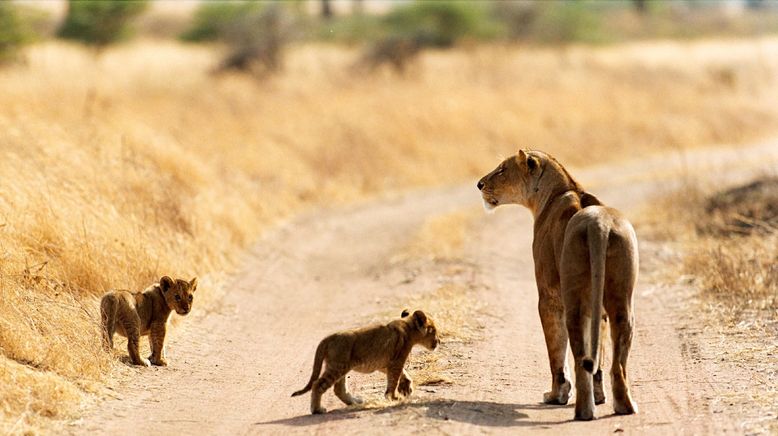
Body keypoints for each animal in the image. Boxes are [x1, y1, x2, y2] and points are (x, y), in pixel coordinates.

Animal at [478, 149, 636, 418]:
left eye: (501, 170)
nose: (479, 184)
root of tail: (599, 224)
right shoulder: (598, 309)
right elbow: (598, 354)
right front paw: (599, 396)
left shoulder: (548, 296)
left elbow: (556, 352)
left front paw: (557, 395)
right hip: (621, 300)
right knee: (617, 358)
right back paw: (624, 406)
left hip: (573, 299)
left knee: (579, 356)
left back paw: (583, 411)